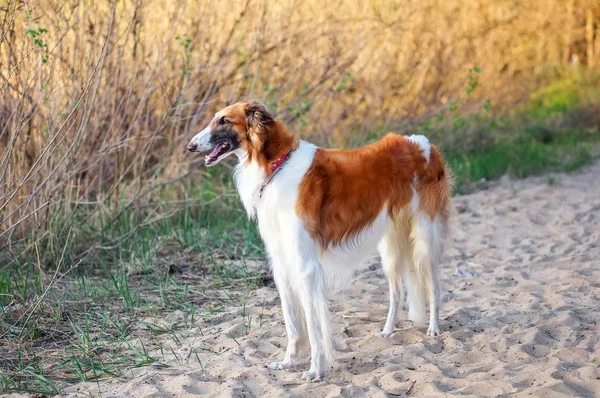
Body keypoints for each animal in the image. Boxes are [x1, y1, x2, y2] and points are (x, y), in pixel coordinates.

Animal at [188, 101, 450, 380]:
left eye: (224, 120)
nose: (190, 146)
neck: (277, 166)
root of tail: (424, 143)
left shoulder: (306, 267)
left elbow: (313, 327)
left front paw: (315, 369)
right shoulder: (281, 264)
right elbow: (292, 323)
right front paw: (288, 362)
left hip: (424, 238)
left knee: (433, 284)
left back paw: (433, 328)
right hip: (390, 245)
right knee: (396, 291)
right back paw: (388, 331)